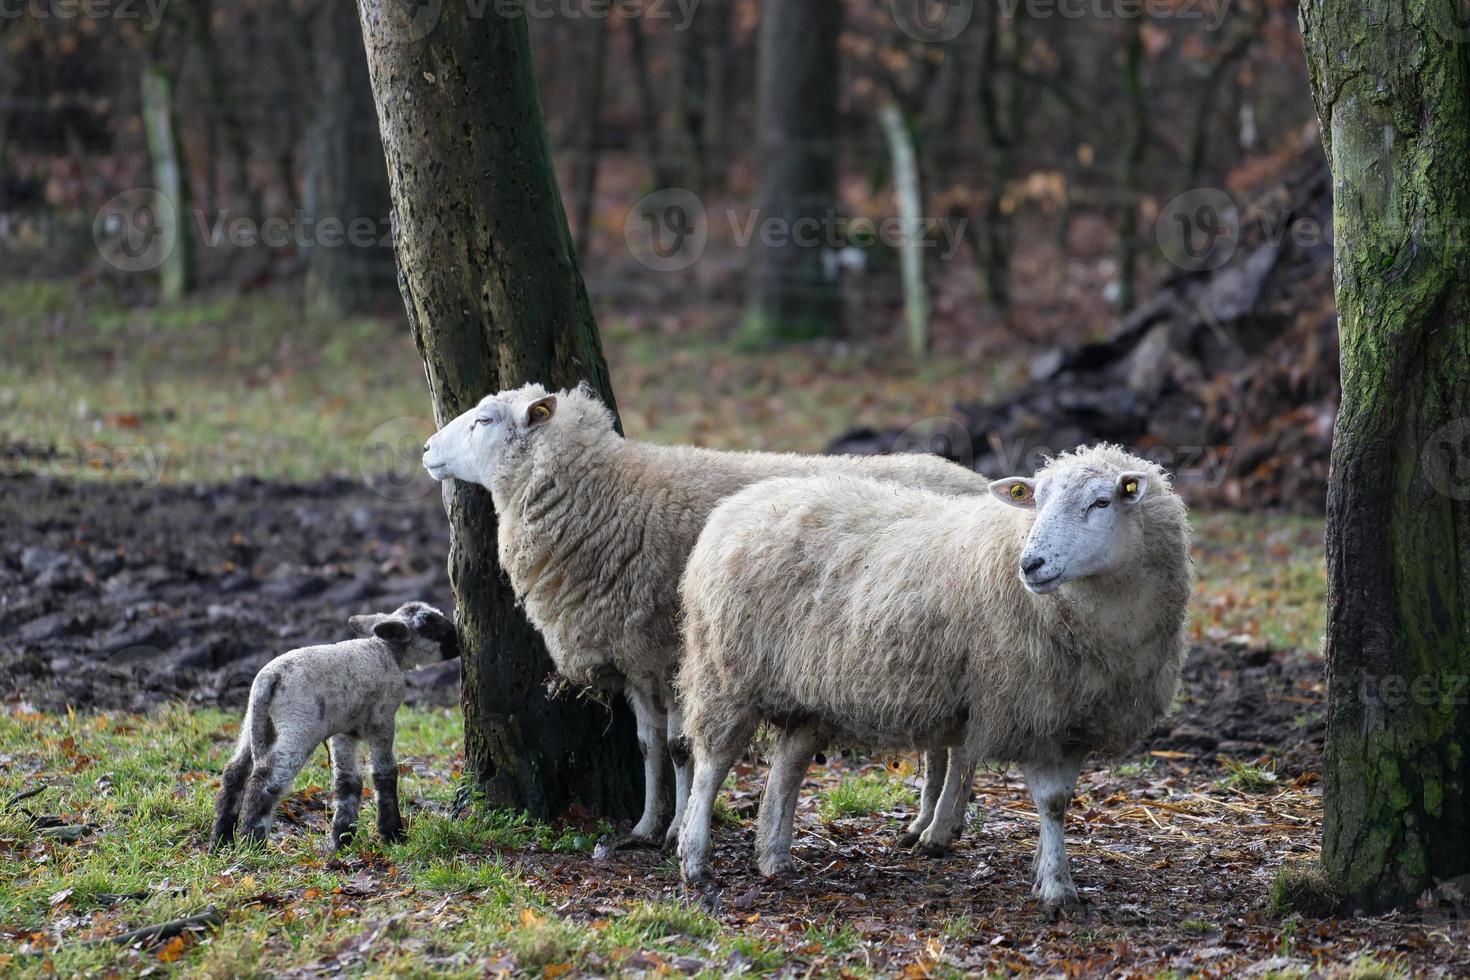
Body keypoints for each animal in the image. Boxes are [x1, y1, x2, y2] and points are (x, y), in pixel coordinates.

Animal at [208, 599, 458, 852]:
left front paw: (342, 839)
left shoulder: (344, 730)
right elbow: (384, 773)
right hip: (299, 727)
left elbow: (348, 781)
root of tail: (270, 680)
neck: (386, 651)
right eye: (430, 626)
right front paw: (393, 834)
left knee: (235, 773)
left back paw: (221, 841)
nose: (457, 641)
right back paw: (253, 843)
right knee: (266, 781)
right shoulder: (383, 718)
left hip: (255, 722)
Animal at [414, 382, 987, 852]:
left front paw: (674, 830)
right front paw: (646, 825)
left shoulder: (675, 651)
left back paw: (938, 831)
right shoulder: (636, 656)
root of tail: (978, 482)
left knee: (962, 748)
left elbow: (680, 746)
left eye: (484, 419)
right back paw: (925, 821)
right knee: (943, 741)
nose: (424, 449)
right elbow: (648, 745)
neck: (604, 498)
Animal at [676, 446, 1193, 922]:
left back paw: (774, 858)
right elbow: (1048, 803)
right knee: (713, 762)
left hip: (809, 691)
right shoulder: (1027, 707)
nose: (1031, 564)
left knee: (787, 767)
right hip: (726, 671)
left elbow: (1062, 801)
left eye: (1102, 502)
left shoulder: (1078, 715)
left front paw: (1047, 872)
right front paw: (1055, 888)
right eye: (1037, 502)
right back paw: (694, 857)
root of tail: (742, 502)